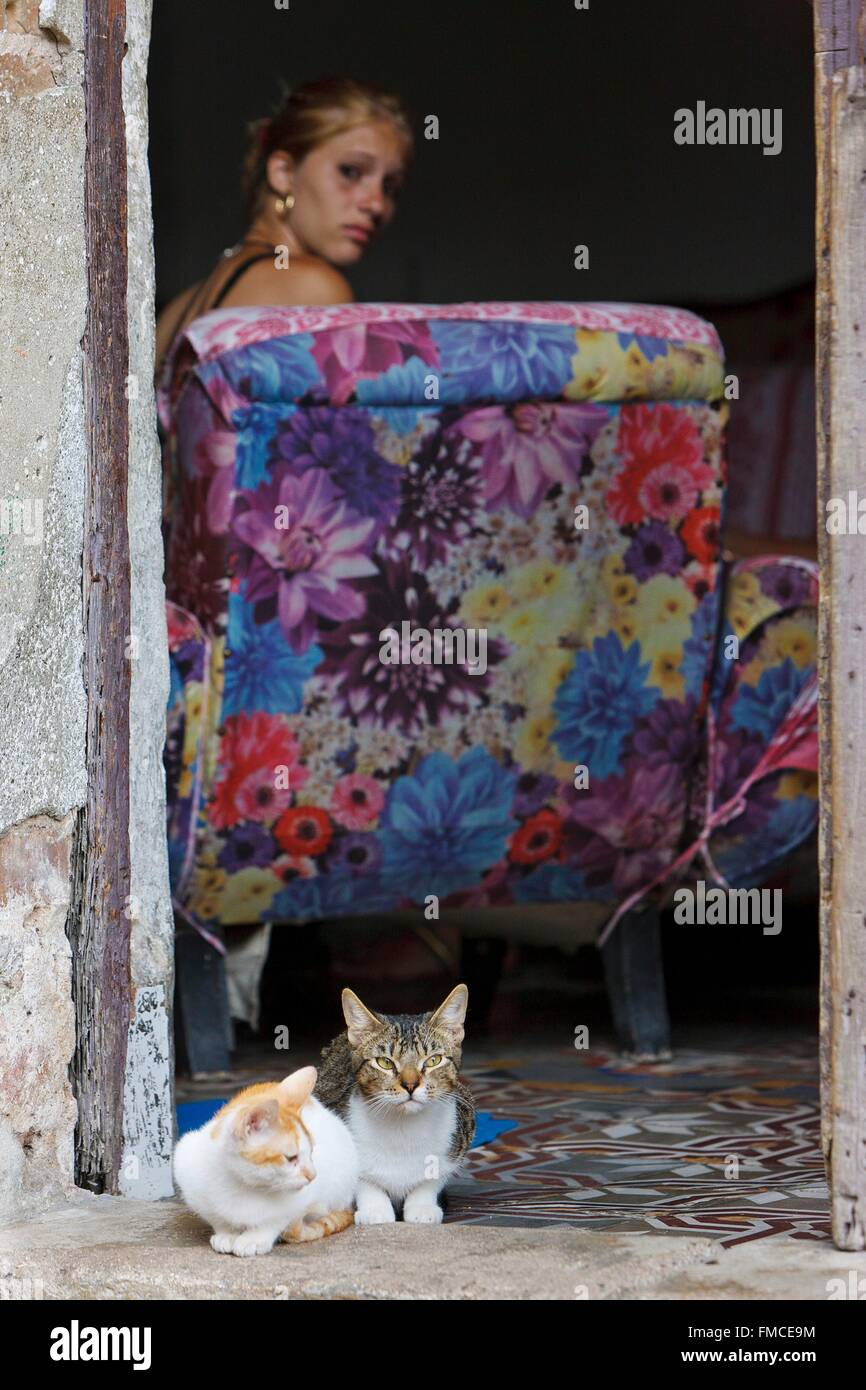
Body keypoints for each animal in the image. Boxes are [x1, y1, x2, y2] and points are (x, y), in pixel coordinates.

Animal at [174, 1067, 358, 1256]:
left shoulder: (303, 1198)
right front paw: (227, 1234)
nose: (313, 1175)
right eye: (291, 1158)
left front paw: (255, 1238)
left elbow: (276, 1219)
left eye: (312, 1152)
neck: (242, 1185)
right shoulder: (187, 1166)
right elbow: (217, 1218)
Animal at [315, 984, 475, 1223]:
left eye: (433, 1060)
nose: (410, 1085)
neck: (403, 1126)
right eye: (385, 1062)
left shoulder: (463, 1125)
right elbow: (361, 1179)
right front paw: (374, 1208)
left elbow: (435, 1176)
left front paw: (422, 1205)